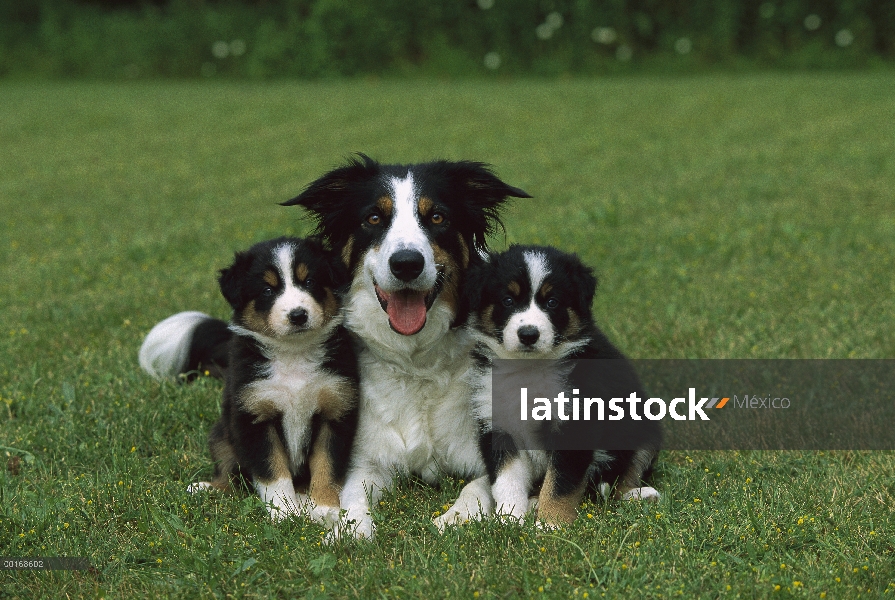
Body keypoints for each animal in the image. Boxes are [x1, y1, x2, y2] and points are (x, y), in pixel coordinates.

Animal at [142, 237, 358, 524]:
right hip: (223, 432)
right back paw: (206, 488)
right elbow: (273, 470)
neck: (294, 354)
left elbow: (327, 464)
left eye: (310, 281)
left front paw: (325, 509)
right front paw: (283, 512)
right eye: (267, 290)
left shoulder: (334, 409)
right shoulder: (254, 414)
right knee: (227, 471)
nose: (298, 315)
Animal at [284, 155, 528, 540]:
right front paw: (349, 531)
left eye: (437, 217)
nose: (407, 264)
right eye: (373, 218)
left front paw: (453, 517)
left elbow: (478, 487)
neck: (417, 362)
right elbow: (351, 494)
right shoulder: (368, 460)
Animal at [438, 244, 660, 528]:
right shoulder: (497, 423)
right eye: (508, 300)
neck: (529, 369)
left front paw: (551, 524)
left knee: (620, 479)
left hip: (646, 429)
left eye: (552, 302)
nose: (529, 335)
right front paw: (510, 519)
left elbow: (560, 483)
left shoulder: (575, 422)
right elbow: (507, 478)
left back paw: (641, 495)